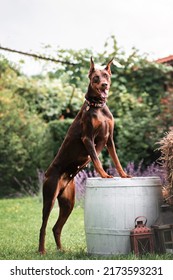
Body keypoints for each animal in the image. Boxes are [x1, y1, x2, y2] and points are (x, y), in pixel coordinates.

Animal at [38, 57, 130, 254]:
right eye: (95, 77)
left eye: (106, 76)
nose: (104, 85)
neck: (98, 107)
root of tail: (49, 174)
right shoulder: (88, 138)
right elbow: (96, 159)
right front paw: (104, 175)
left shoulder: (109, 139)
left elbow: (117, 160)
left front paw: (124, 175)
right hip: (49, 197)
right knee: (43, 226)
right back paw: (41, 251)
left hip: (68, 202)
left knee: (56, 227)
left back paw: (61, 250)